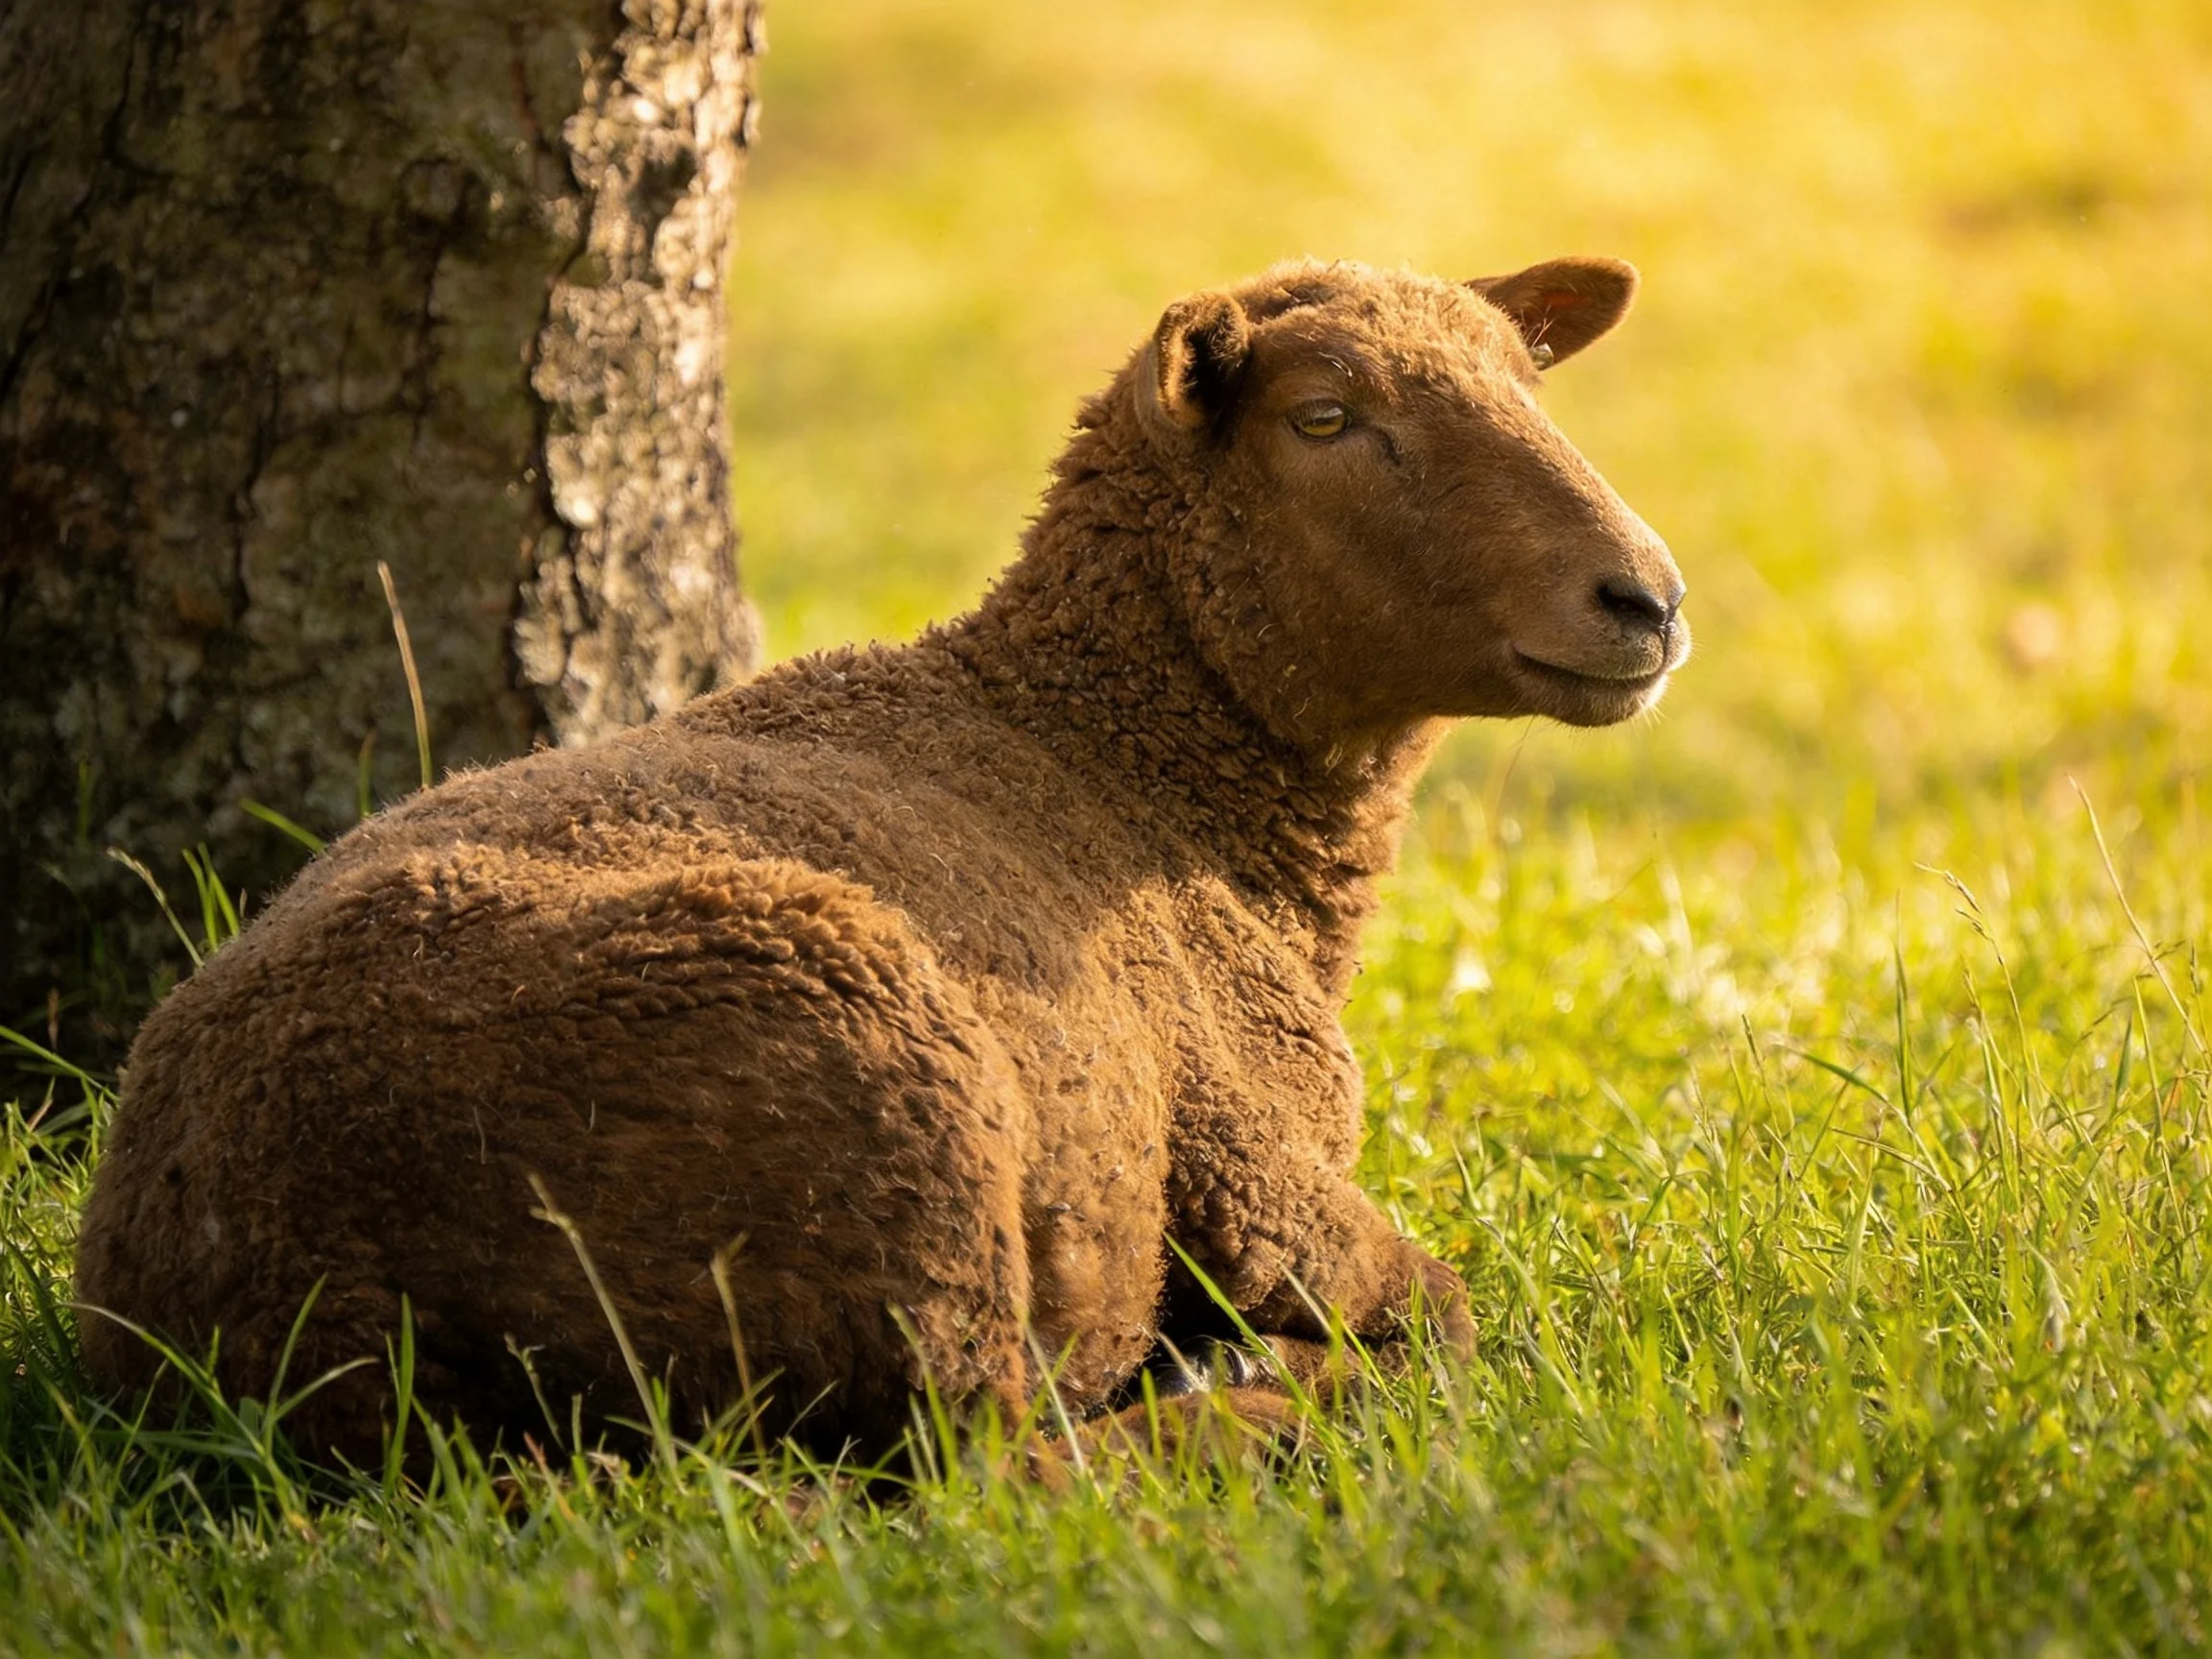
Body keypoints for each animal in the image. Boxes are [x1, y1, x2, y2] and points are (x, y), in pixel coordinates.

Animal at [75, 257, 1690, 1467]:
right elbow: (1451, 1311)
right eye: (1327, 417)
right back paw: (1237, 1412)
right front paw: (1273, 1368)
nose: (1649, 599)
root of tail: (279, 1296)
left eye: (1531, 385)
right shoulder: (1253, 1172)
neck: (1129, 766)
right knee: (983, 1461)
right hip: (898, 1126)